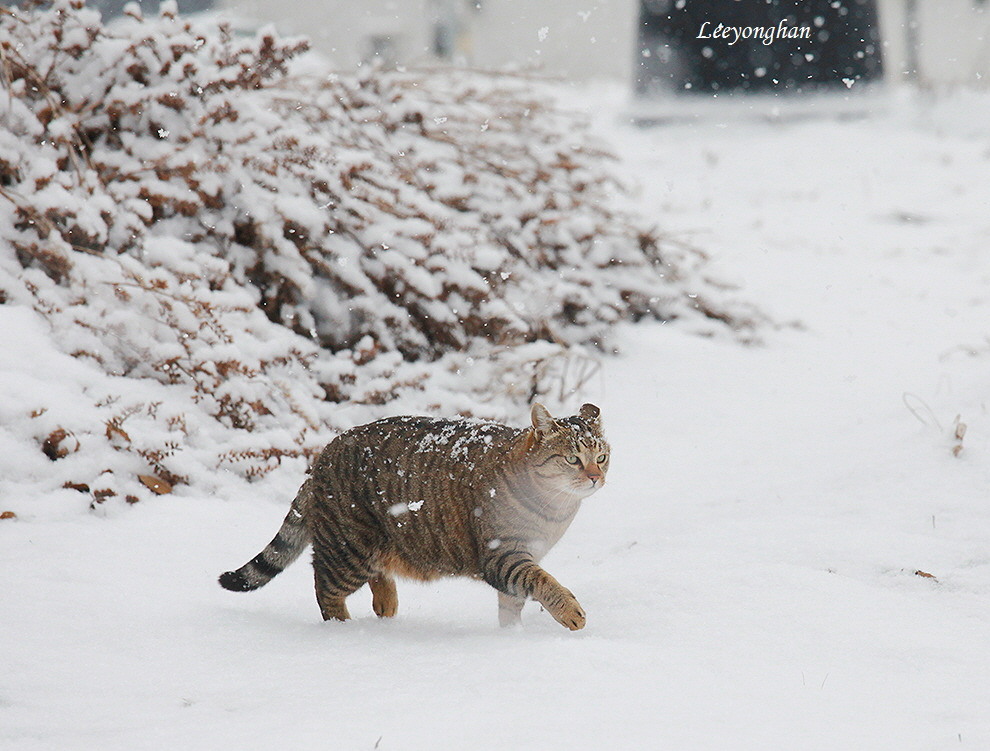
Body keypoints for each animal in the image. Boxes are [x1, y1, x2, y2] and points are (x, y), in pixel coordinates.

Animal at [223, 406, 612, 628]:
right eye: (573, 459)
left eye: (602, 457)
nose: (596, 477)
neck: (555, 509)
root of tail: (322, 456)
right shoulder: (503, 555)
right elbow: (543, 582)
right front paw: (569, 611)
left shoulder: (518, 559)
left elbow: (513, 602)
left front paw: (510, 635)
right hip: (348, 547)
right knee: (324, 588)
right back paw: (344, 630)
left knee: (375, 574)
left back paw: (386, 605)